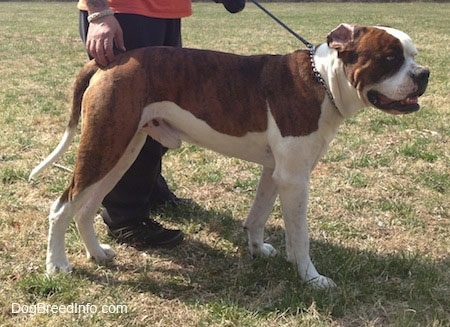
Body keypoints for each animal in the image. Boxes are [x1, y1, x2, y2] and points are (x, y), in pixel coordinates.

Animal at [30, 23, 428, 290]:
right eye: (390, 59)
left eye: (415, 56)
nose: (425, 74)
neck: (322, 82)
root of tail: (112, 60)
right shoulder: (296, 179)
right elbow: (300, 236)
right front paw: (311, 278)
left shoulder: (276, 172)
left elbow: (258, 215)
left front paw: (258, 249)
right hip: (104, 147)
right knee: (61, 206)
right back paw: (57, 265)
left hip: (121, 150)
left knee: (85, 206)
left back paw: (97, 253)